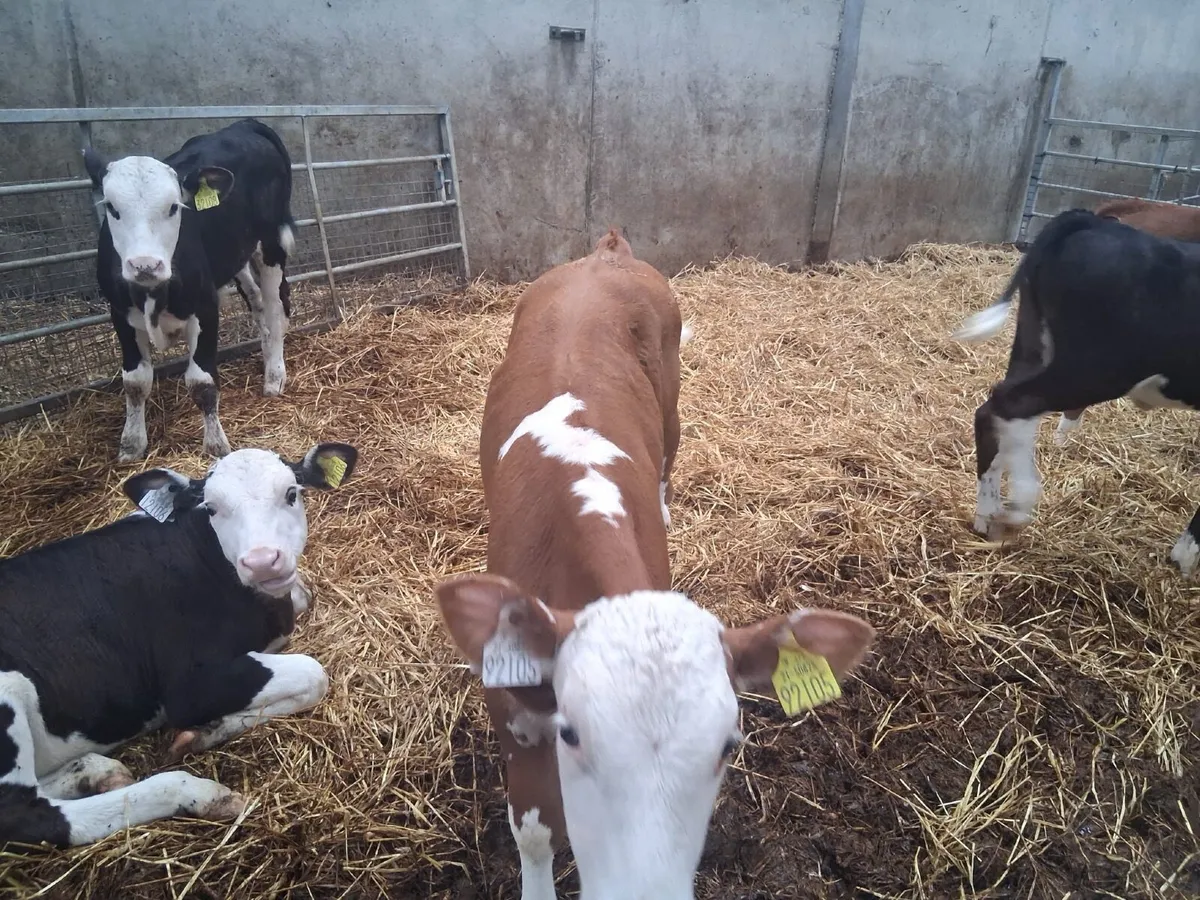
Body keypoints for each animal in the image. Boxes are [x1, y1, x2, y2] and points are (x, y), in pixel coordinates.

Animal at [0, 441, 357, 848]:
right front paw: (202, 732)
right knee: (25, 813)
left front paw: (207, 729)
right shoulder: (188, 687)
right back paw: (196, 792)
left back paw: (96, 772)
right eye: (212, 508)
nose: (262, 562)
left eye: (291, 493)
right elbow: (315, 674)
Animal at [84, 118, 297, 463]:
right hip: (234, 255)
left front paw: (216, 446)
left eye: (174, 206)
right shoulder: (119, 314)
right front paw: (131, 444)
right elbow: (135, 382)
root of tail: (244, 124)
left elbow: (202, 382)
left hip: (271, 242)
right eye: (112, 208)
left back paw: (274, 376)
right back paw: (265, 354)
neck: (153, 292)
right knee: (257, 301)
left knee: (276, 304)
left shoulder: (206, 307)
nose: (145, 264)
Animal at [435, 230, 875, 900]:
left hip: (670, 406)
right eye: (571, 733)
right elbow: (535, 832)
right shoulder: (514, 712)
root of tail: (607, 252)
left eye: (728, 747)